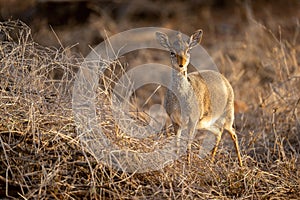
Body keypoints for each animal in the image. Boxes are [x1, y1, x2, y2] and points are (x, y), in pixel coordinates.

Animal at [156, 29, 243, 166]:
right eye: (172, 52)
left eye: (188, 51)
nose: (181, 65)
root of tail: (225, 80)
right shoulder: (175, 121)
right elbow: (176, 143)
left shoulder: (192, 121)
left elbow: (188, 144)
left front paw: (188, 165)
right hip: (206, 123)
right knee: (218, 132)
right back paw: (211, 162)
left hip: (228, 117)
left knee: (233, 134)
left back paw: (240, 165)